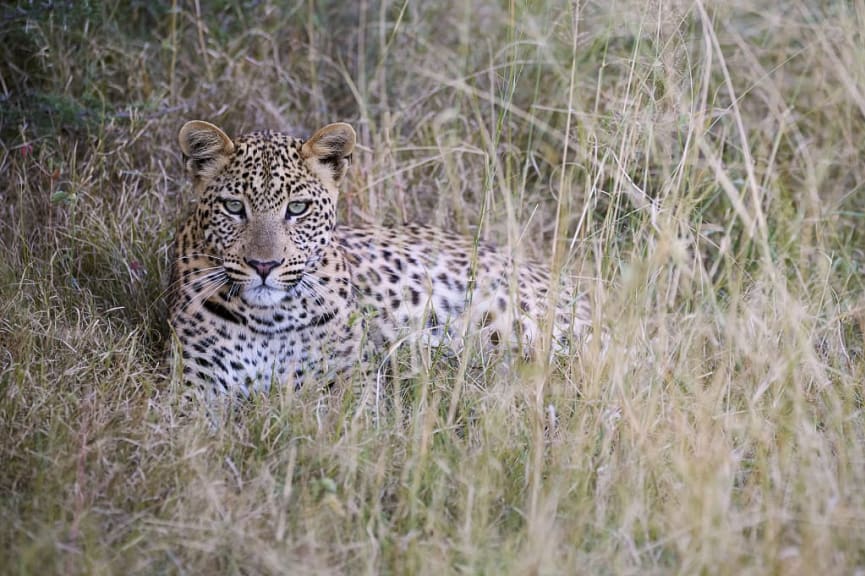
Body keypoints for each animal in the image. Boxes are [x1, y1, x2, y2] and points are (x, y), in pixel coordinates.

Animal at [169, 119, 588, 398]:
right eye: (234, 207)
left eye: (297, 208)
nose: (263, 266)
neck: (268, 320)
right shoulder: (193, 390)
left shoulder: (353, 380)